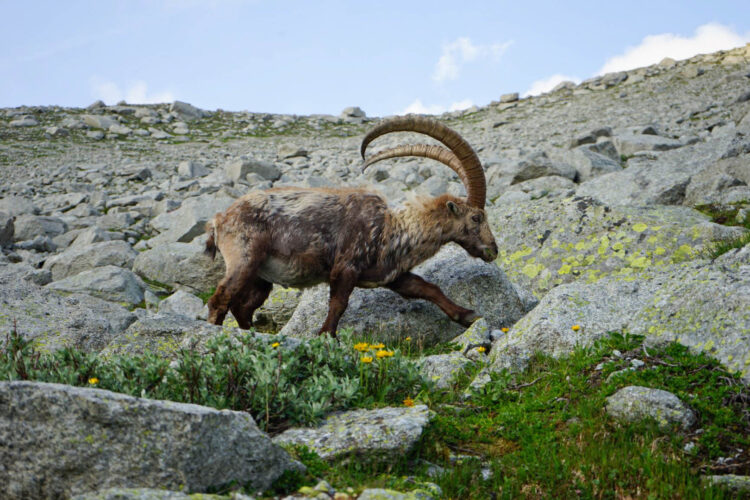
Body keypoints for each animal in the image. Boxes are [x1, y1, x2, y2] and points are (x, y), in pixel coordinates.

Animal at [206, 116, 500, 336]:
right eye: (476, 218)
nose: (494, 250)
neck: (392, 230)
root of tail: (219, 219)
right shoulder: (346, 266)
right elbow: (339, 303)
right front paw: (326, 336)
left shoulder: (392, 274)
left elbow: (427, 288)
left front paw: (467, 315)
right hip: (244, 257)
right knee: (221, 298)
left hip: (261, 277)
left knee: (242, 307)